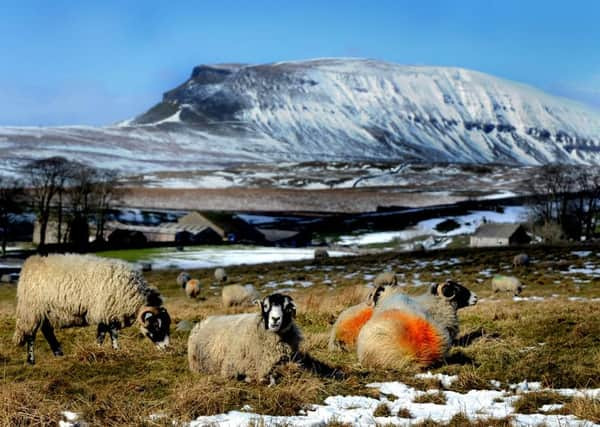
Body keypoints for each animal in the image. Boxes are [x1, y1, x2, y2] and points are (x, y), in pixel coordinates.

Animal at [12, 256, 171, 366]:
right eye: (156, 325)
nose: (167, 347)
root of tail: (29, 264)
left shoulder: (105, 313)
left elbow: (103, 333)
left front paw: (98, 350)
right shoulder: (108, 311)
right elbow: (111, 334)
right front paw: (115, 351)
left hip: (46, 312)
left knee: (47, 331)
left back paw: (58, 353)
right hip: (31, 310)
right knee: (31, 335)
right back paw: (31, 360)